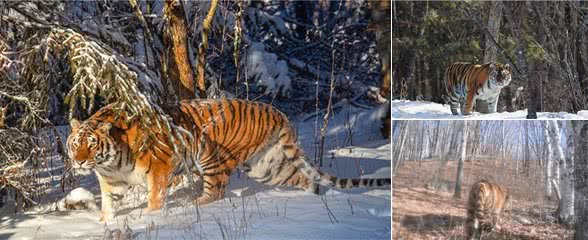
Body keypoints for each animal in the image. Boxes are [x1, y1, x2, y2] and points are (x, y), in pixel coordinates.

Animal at [68, 99, 390, 221]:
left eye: (91, 144)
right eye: (75, 144)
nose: (79, 161)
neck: (109, 161)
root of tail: (277, 112)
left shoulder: (160, 169)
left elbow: (155, 198)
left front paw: (151, 217)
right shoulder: (112, 182)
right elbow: (109, 204)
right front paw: (104, 223)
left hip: (212, 157)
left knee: (216, 192)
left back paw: (193, 205)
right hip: (266, 166)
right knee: (300, 177)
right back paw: (316, 197)